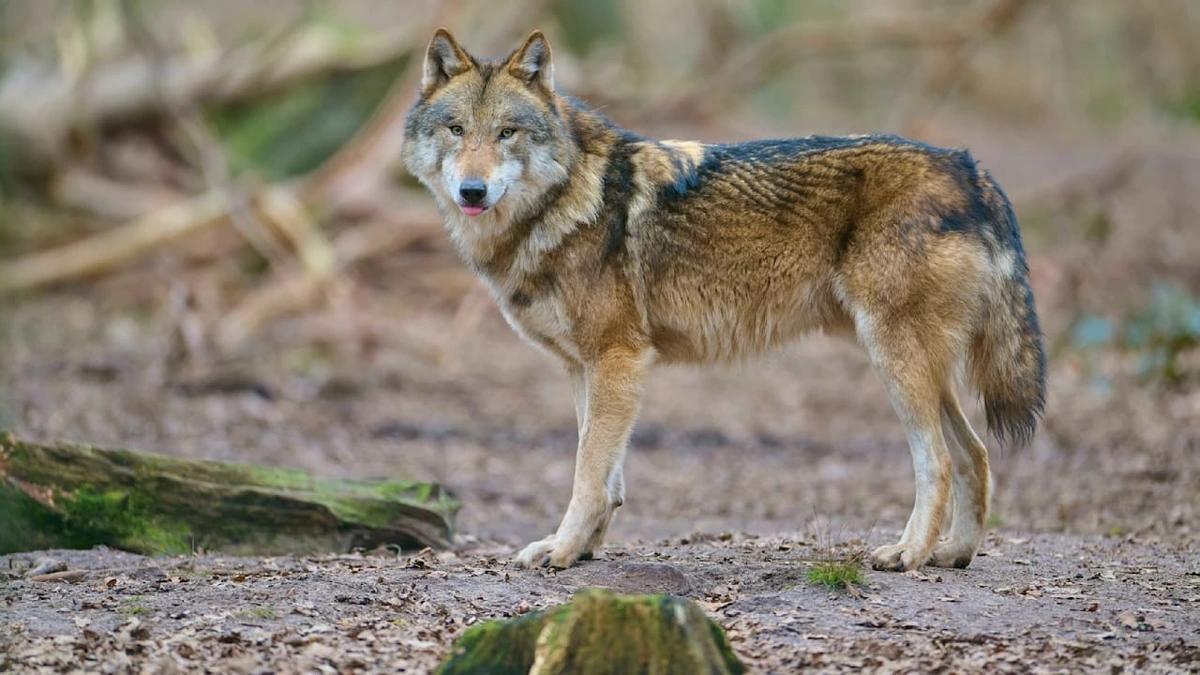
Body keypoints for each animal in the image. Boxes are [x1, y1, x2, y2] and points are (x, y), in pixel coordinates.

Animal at [401, 29, 1046, 572]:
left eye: (506, 133)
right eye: (456, 130)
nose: (473, 190)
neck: (566, 199)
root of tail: (970, 168)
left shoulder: (618, 358)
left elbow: (588, 474)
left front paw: (562, 551)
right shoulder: (586, 368)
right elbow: (608, 479)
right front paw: (581, 550)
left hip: (895, 361)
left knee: (938, 460)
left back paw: (907, 554)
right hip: (918, 368)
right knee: (976, 453)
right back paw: (954, 553)